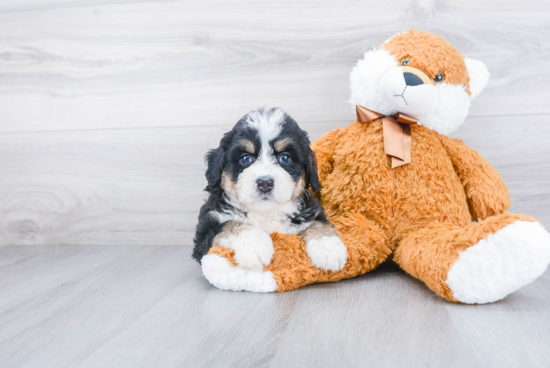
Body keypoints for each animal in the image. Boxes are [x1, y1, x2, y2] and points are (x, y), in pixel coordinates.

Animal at [194, 107, 348, 274]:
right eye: (245, 158)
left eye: (285, 158)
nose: (265, 183)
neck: (266, 213)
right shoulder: (206, 230)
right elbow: (232, 223)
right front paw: (255, 246)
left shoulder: (310, 210)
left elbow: (317, 223)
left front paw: (328, 248)